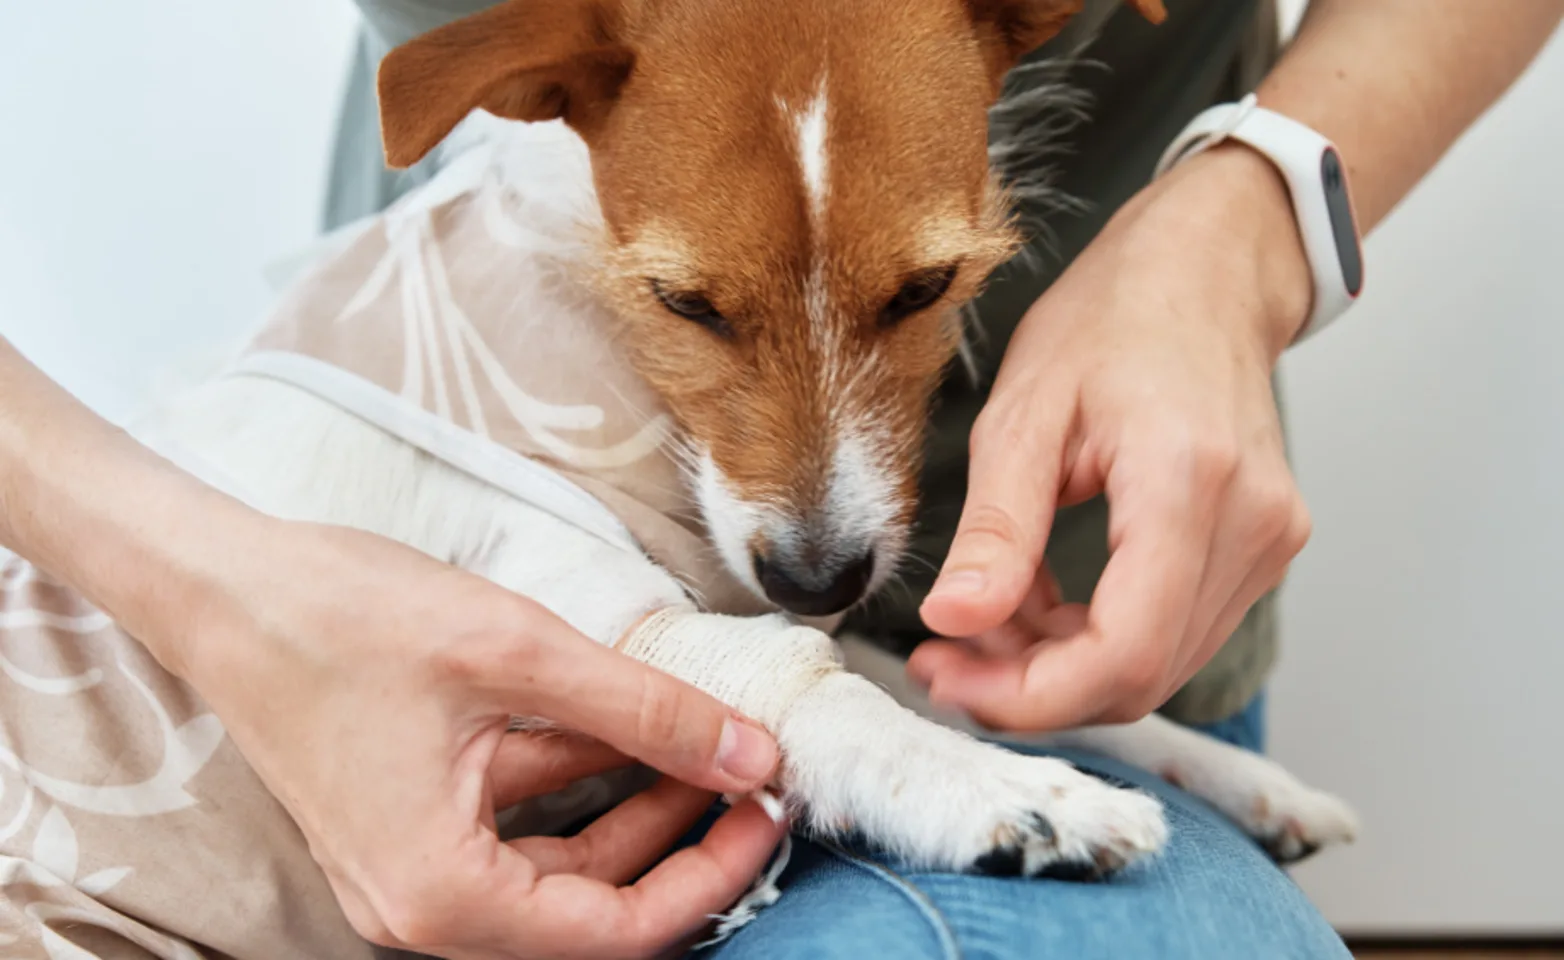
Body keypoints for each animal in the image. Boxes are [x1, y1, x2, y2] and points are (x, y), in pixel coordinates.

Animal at [147, 0, 1363, 906]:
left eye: (925, 289)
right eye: (684, 304)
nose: (816, 580)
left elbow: (964, 690)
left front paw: (1237, 777)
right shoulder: (584, 618)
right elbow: (833, 704)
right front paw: (1016, 800)